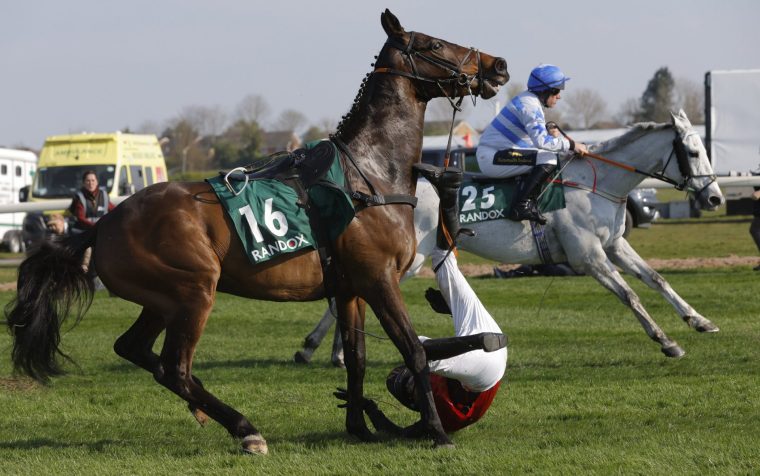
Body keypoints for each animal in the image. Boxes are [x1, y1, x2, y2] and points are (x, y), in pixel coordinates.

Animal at [4, 9, 509, 453]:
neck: (369, 174)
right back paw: (245, 429)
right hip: (194, 292)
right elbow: (413, 352)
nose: (497, 65)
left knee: (135, 349)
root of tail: (103, 225)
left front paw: (359, 427)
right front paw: (437, 433)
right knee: (174, 368)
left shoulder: (351, 288)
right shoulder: (379, 279)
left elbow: (358, 357)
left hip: (163, 299)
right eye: (434, 44)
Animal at [296, 110, 724, 365]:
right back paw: (318, 348)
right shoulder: (589, 257)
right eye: (691, 151)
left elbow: (657, 279)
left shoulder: (614, 245)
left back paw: (328, 349)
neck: (598, 183)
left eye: (704, 148)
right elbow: (631, 294)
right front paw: (666, 341)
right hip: (411, 258)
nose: (714, 197)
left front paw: (700, 320)